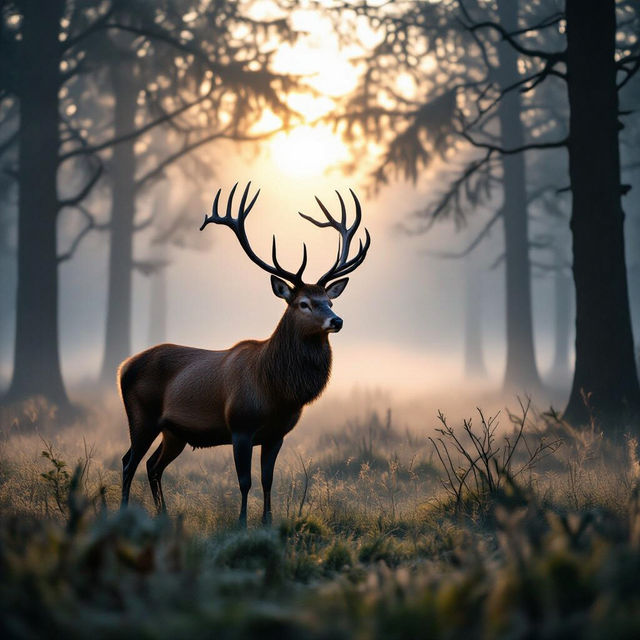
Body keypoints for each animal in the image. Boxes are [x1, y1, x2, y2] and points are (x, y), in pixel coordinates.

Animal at [119, 182, 370, 526]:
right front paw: (241, 523)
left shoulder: (276, 434)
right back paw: (121, 514)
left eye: (329, 301)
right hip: (141, 416)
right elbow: (244, 480)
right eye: (303, 303)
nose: (337, 321)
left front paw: (267, 522)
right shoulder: (240, 425)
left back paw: (164, 515)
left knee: (153, 465)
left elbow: (267, 480)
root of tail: (123, 367)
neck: (276, 390)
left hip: (174, 431)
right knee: (128, 461)